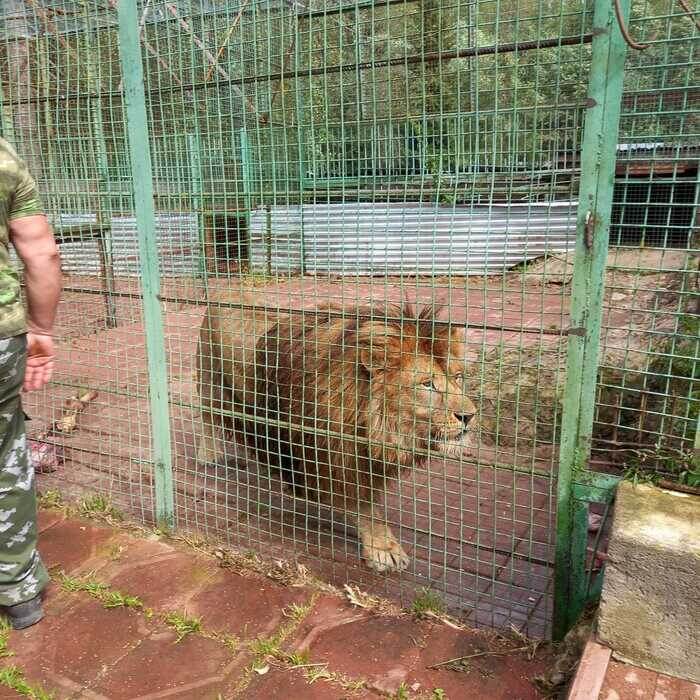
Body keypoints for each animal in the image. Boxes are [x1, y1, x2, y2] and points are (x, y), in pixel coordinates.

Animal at [198, 292, 482, 572]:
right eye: (427, 384)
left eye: (458, 377)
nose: (469, 416)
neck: (376, 427)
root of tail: (219, 291)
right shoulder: (337, 458)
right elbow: (365, 507)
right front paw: (383, 549)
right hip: (211, 385)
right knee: (207, 420)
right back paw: (210, 456)